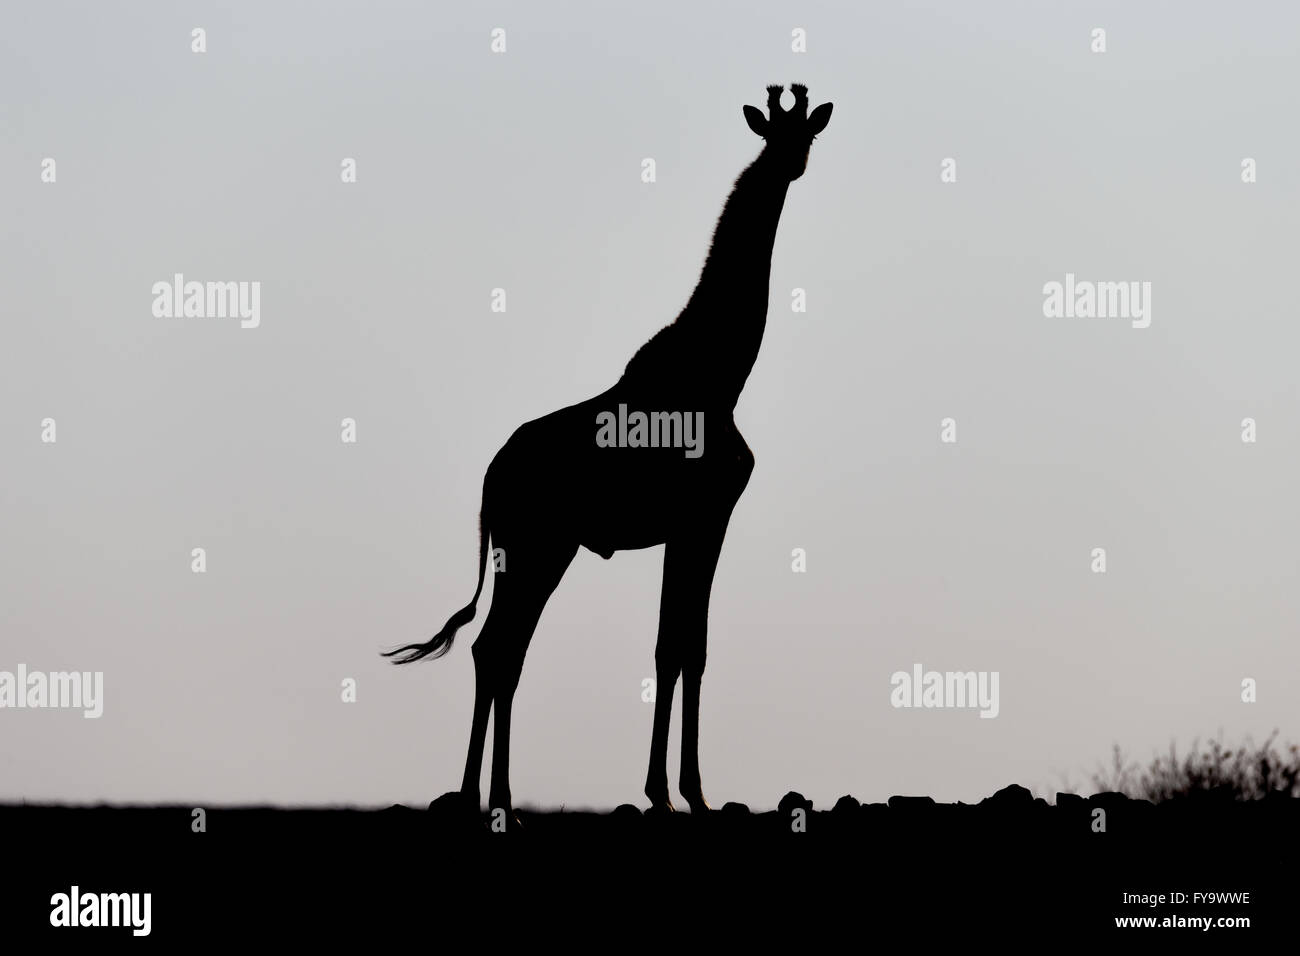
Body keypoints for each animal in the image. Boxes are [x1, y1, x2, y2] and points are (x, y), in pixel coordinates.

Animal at [385, 84, 833, 820]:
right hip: (538, 543)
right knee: (499, 647)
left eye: (808, 133)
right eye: (772, 132)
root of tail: (489, 484)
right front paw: (681, 794)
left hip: (540, 546)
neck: (722, 373)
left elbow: (680, 647)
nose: (790, 163)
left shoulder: (696, 524)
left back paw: (487, 796)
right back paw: (488, 796)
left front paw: (675, 792)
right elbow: (681, 647)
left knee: (497, 649)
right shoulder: (703, 519)